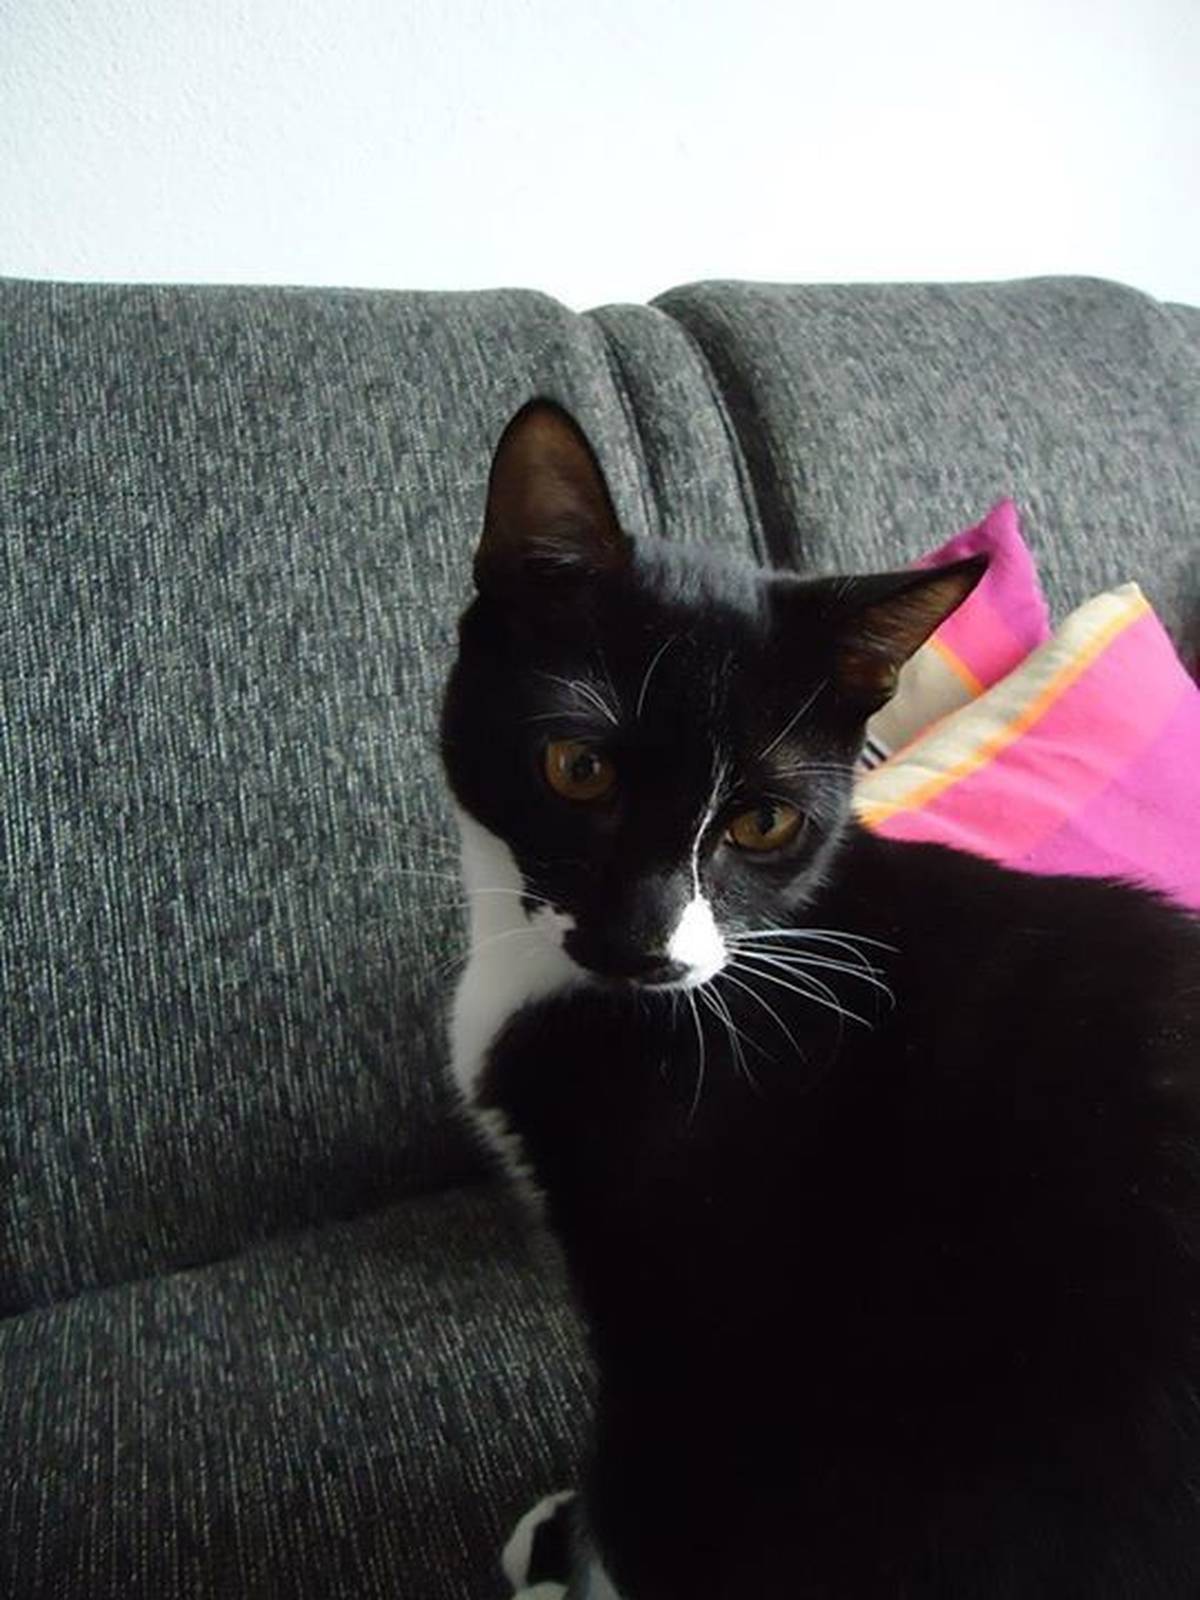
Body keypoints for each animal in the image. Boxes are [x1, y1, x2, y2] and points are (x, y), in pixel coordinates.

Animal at [440, 400, 1200, 1599]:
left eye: (763, 823)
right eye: (577, 768)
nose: (646, 942)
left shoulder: (701, 1304)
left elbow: (648, 1481)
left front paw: (578, 1554)